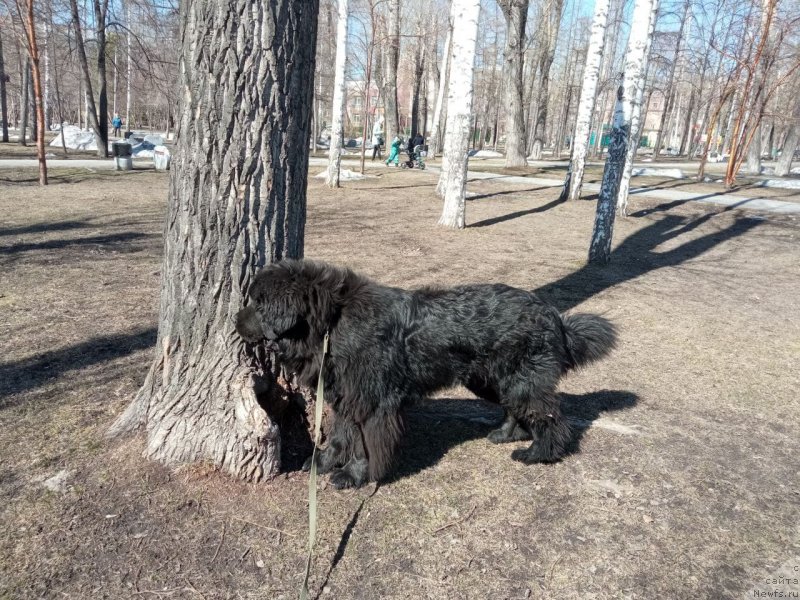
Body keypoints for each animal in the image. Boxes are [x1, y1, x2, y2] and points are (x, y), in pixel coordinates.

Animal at [234, 260, 616, 490]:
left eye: (258, 303)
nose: (235, 321)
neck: (331, 322)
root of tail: (554, 315)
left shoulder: (371, 402)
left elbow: (362, 445)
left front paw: (353, 476)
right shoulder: (347, 396)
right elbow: (342, 436)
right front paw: (324, 463)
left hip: (523, 381)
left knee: (550, 416)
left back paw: (539, 453)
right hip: (490, 380)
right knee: (514, 408)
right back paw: (506, 435)